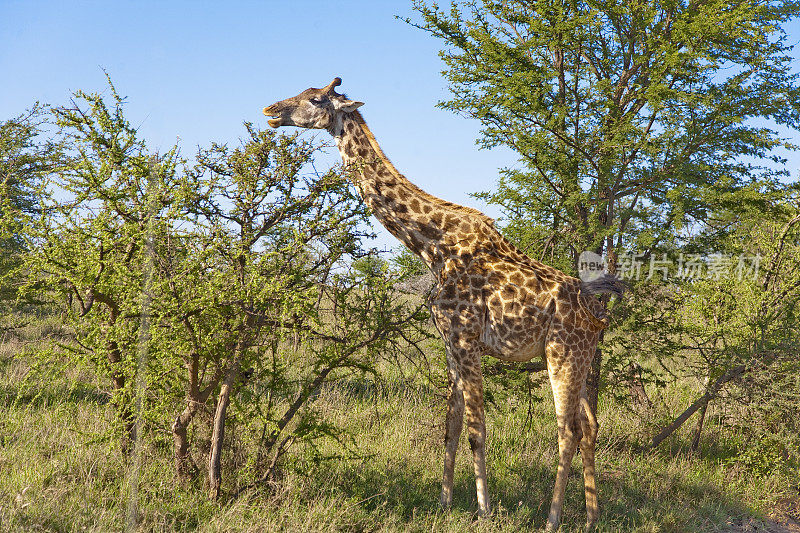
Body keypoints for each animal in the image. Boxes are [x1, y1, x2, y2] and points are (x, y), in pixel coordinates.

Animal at [262, 77, 624, 528]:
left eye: (314, 99)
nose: (271, 111)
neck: (431, 246)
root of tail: (598, 316)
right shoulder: (450, 342)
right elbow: (450, 426)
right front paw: (445, 503)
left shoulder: (466, 339)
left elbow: (476, 427)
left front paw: (484, 510)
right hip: (579, 358)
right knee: (590, 425)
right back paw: (592, 517)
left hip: (562, 354)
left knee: (568, 430)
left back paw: (552, 519)